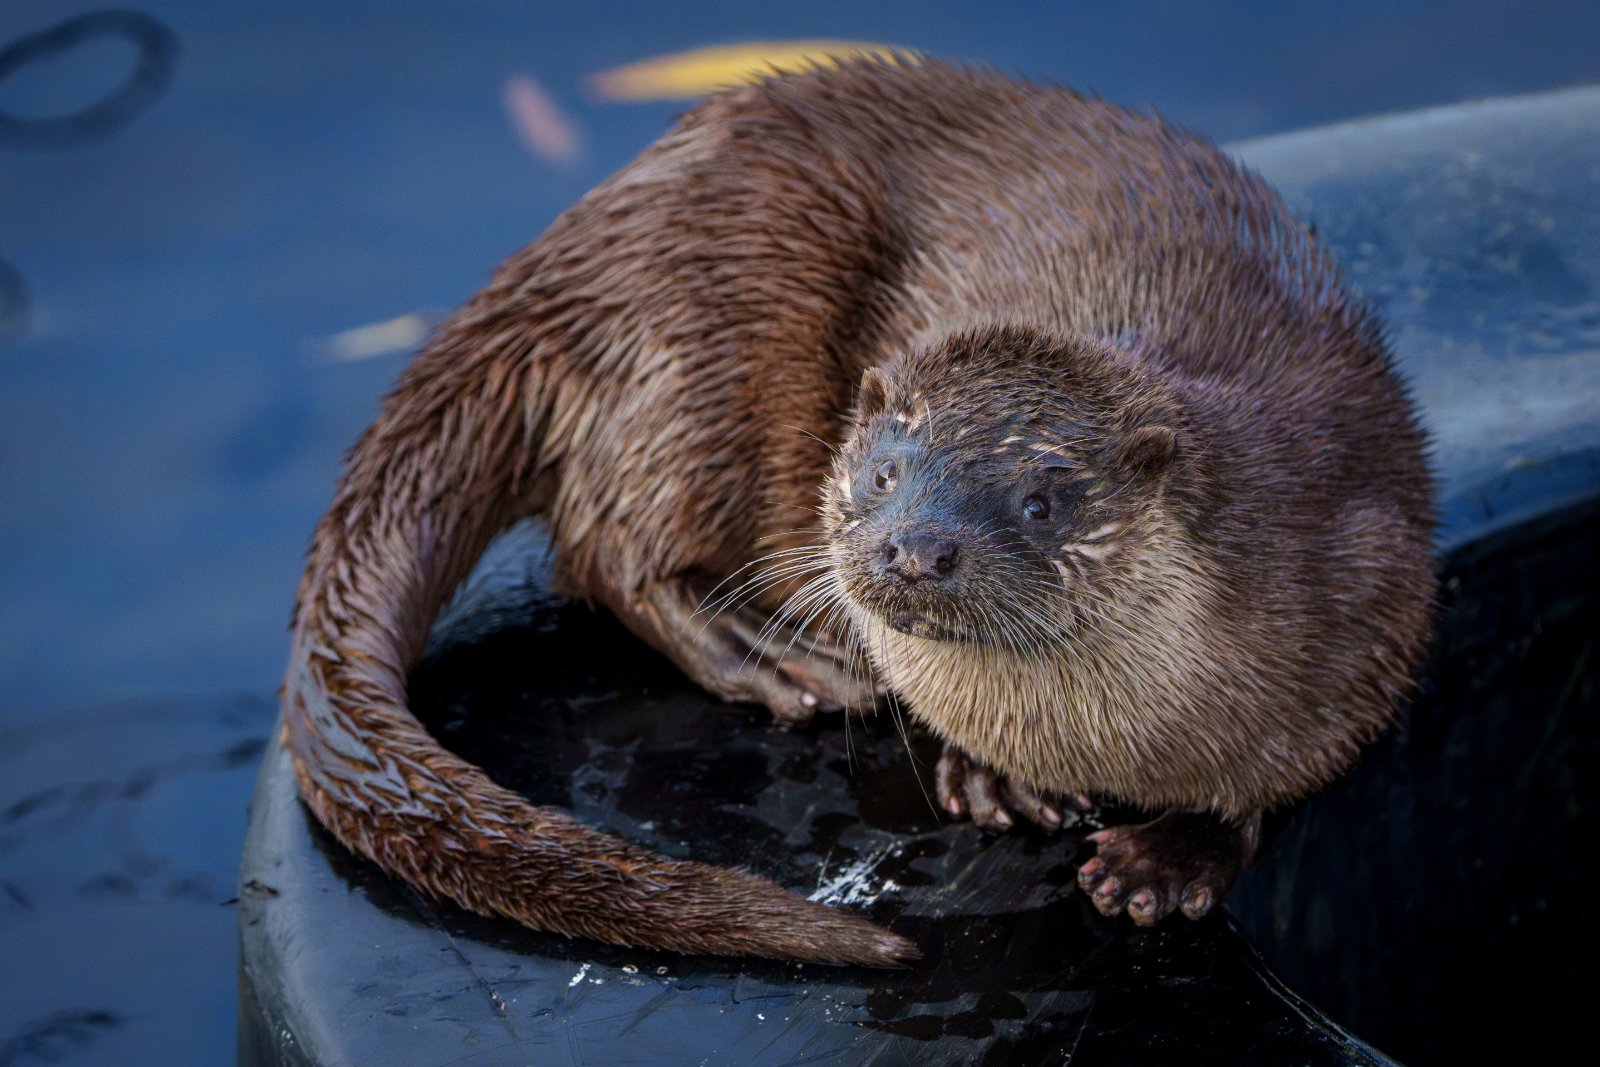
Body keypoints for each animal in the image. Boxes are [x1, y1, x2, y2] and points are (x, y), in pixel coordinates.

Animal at [282, 59, 1434, 968]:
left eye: (1039, 498)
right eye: (884, 469)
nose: (915, 546)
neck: (1100, 744)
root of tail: (570, 249)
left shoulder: (1372, 586)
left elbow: (1285, 769)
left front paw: (1174, 854)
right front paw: (987, 775)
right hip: (710, 326)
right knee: (607, 542)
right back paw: (771, 650)